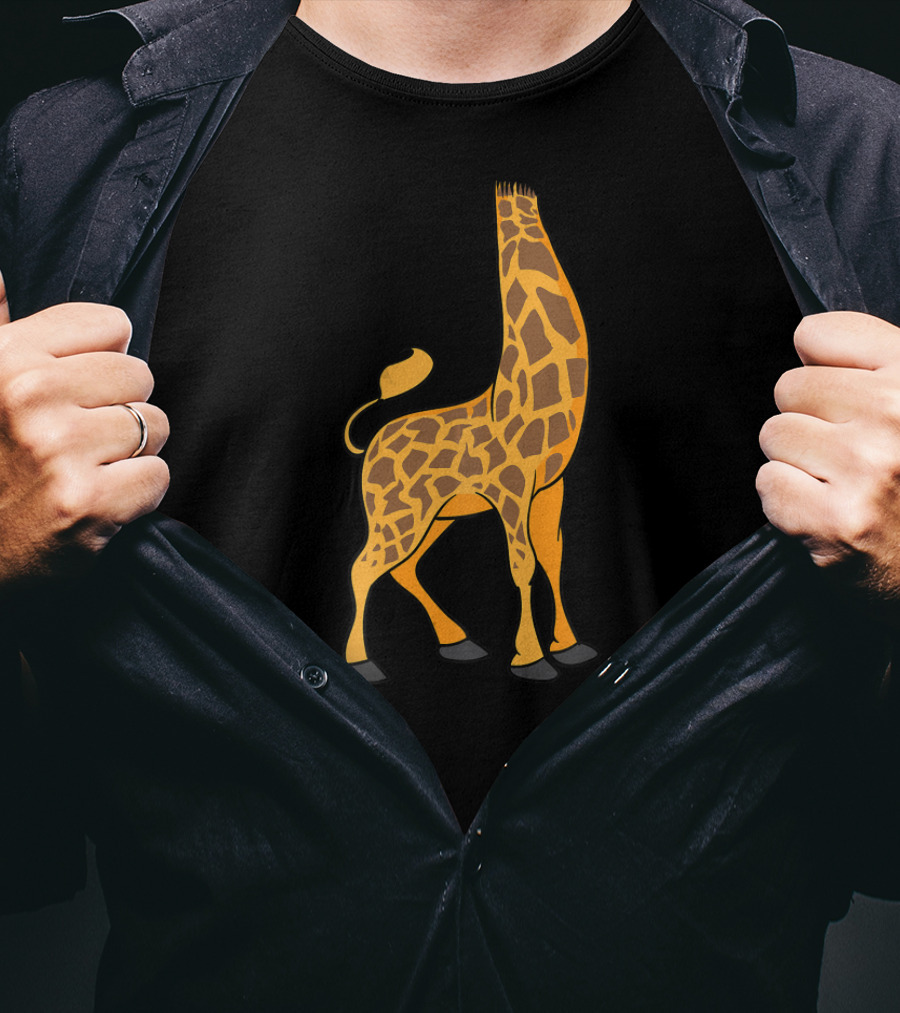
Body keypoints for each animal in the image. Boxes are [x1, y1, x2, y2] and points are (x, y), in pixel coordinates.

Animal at [344, 183, 596, 683]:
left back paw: (458, 641)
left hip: (437, 515)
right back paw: (362, 664)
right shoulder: (511, 487)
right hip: (395, 515)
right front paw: (531, 658)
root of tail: (370, 447)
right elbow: (523, 564)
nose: (523, 197)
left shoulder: (550, 484)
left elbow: (552, 554)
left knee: (403, 569)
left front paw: (570, 646)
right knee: (363, 568)